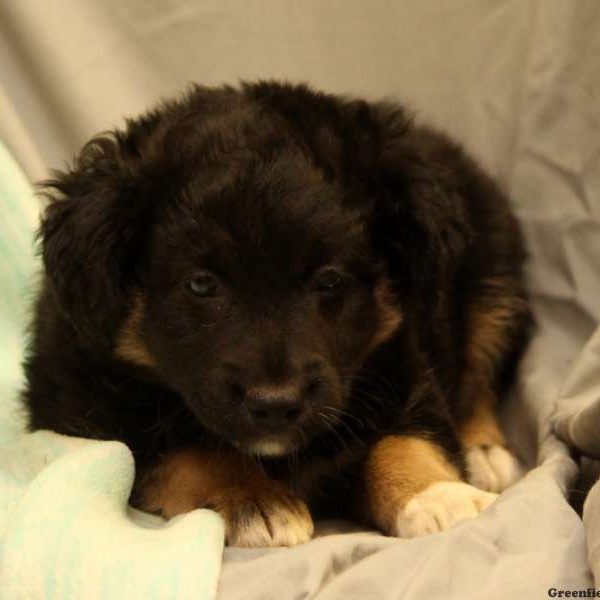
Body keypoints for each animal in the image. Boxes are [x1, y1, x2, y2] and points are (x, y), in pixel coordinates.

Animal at [23, 81, 528, 548]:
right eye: (201, 284)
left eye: (330, 280)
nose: (275, 403)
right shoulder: (80, 407)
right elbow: (187, 448)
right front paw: (254, 498)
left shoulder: (403, 365)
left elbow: (404, 439)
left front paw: (438, 496)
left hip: (493, 279)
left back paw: (484, 452)